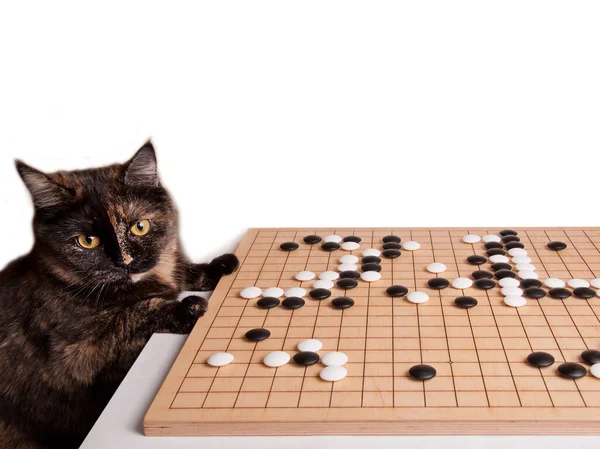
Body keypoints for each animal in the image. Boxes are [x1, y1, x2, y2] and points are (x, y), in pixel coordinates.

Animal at [0, 141, 239, 448]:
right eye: (87, 241)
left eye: (140, 226)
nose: (124, 261)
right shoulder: (75, 356)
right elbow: (132, 315)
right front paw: (186, 308)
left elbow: (182, 272)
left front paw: (218, 267)